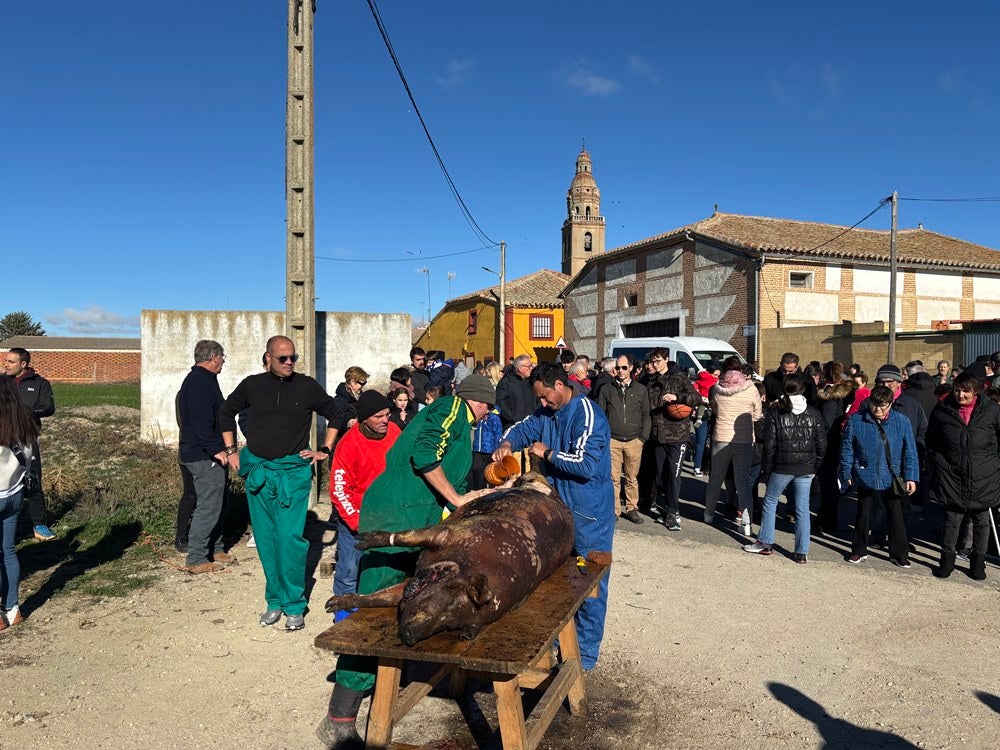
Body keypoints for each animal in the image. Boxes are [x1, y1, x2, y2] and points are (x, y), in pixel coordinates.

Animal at [326, 476, 572, 648]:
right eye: (431, 605)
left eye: (447, 626)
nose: (409, 636)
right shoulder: (447, 533)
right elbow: (406, 536)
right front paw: (363, 541)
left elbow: (382, 597)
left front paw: (332, 604)